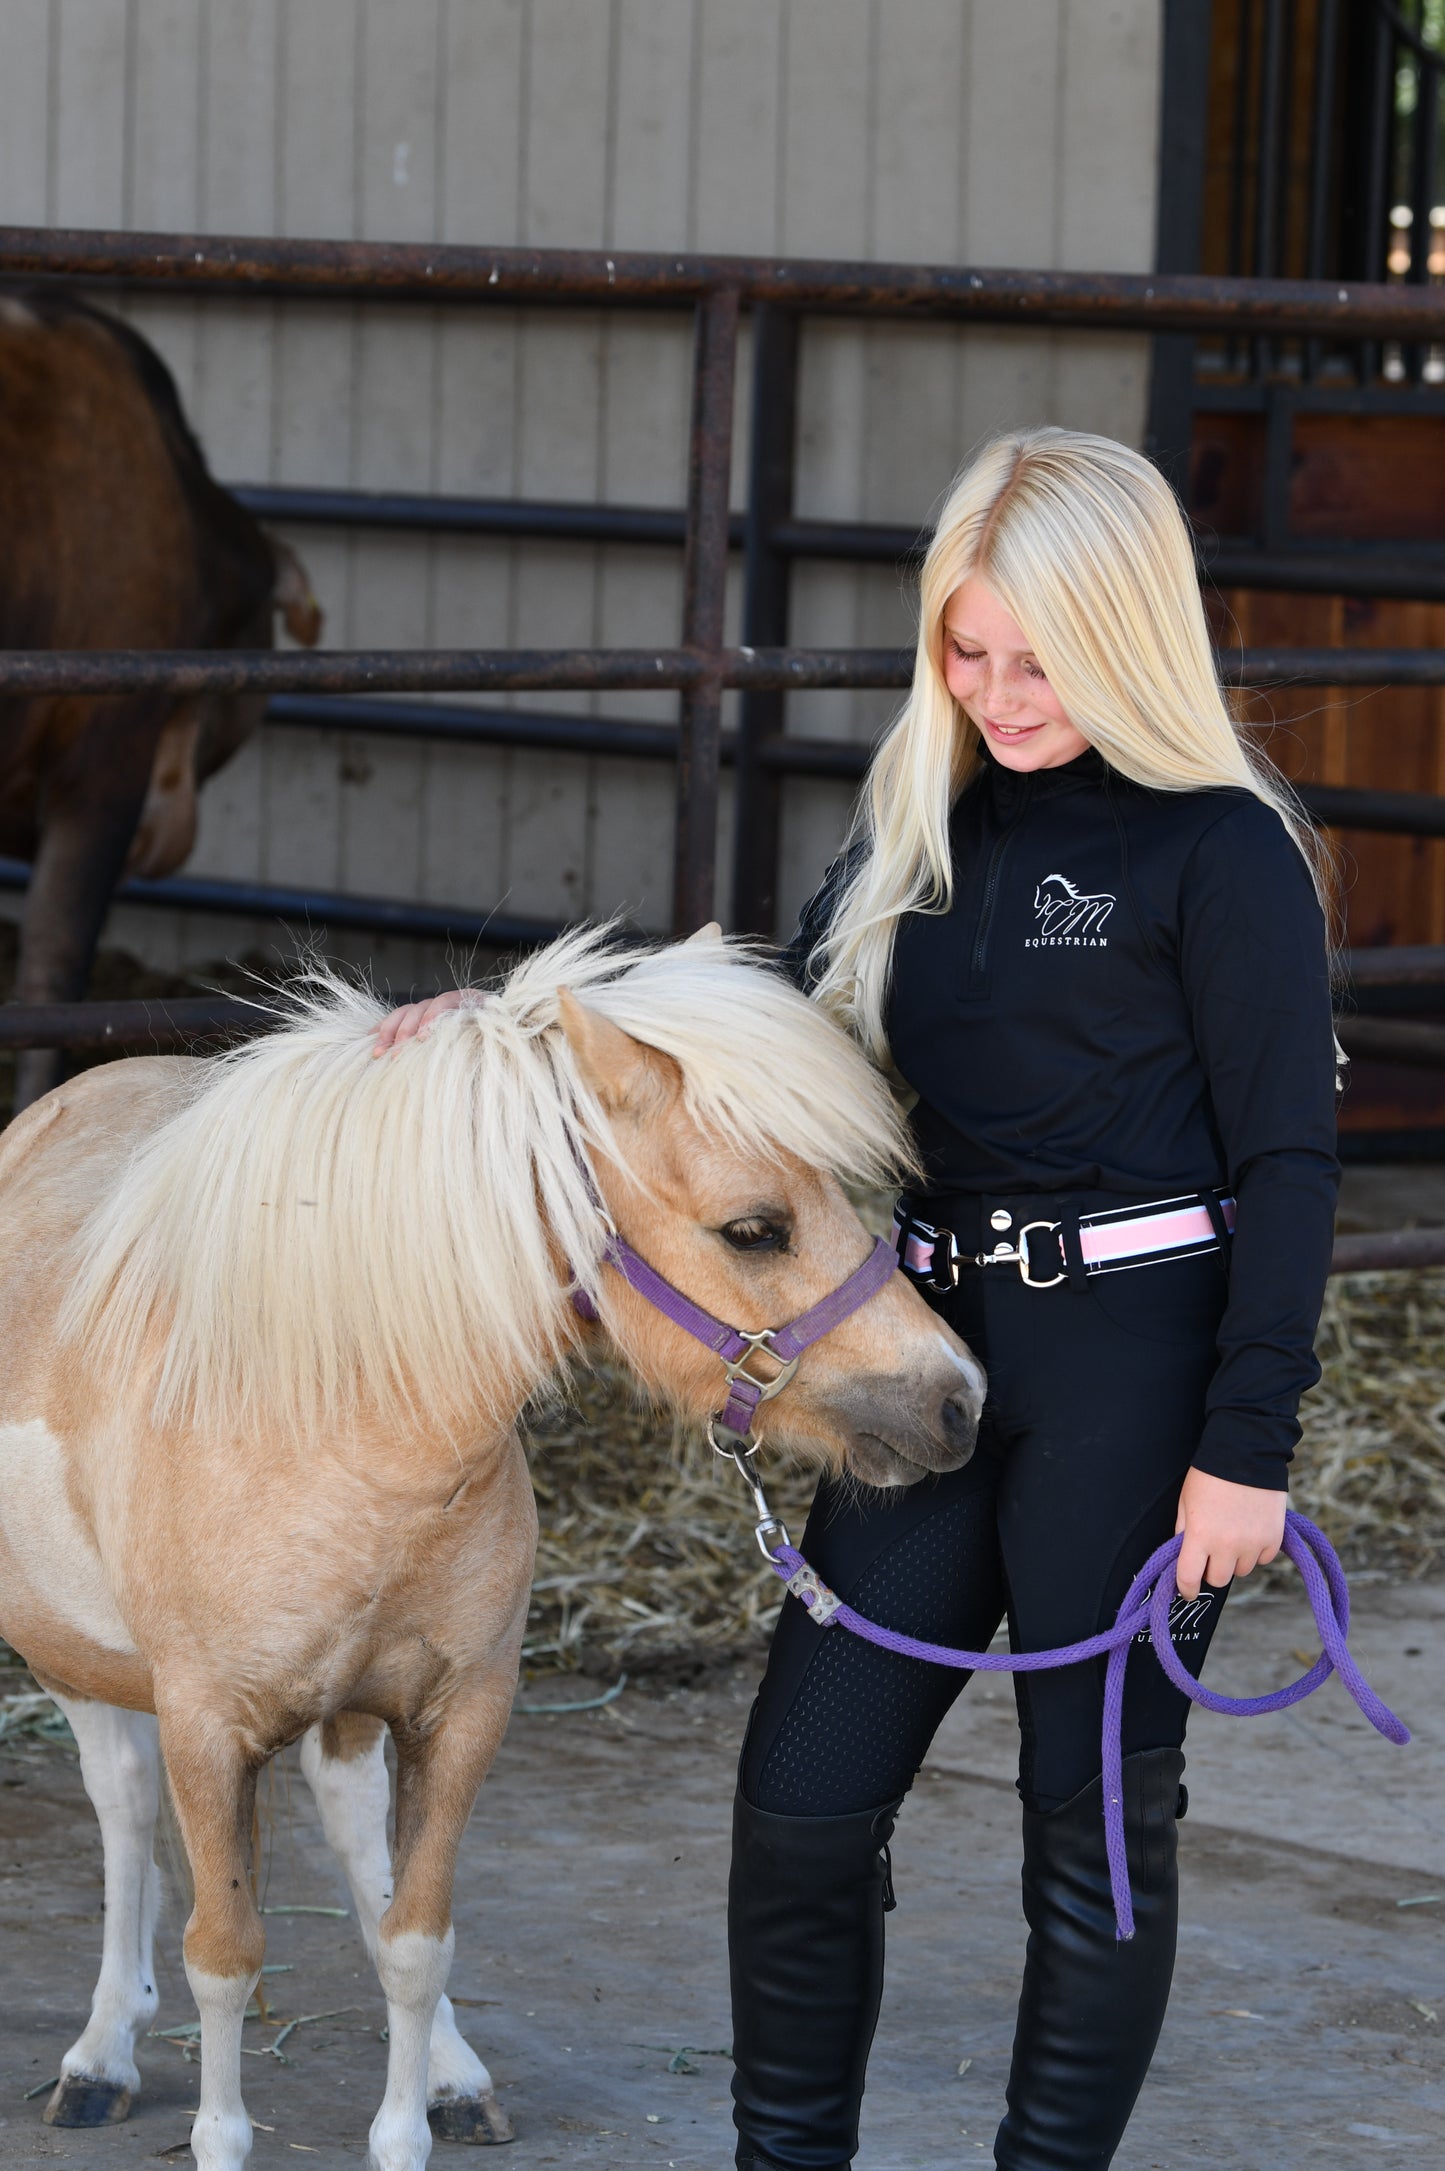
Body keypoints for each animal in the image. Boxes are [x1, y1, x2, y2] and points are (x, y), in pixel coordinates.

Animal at [0, 929, 980, 2171]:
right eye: (754, 1227)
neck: (330, 1414)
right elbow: (222, 1956)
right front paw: (217, 2128)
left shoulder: (460, 1712)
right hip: (70, 1654)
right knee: (124, 1804)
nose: (956, 1399)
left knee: (347, 1822)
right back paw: (100, 2053)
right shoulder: (206, 1728)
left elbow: (413, 1938)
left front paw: (414, 2115)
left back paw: (451, 2071)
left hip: (351, 1709)